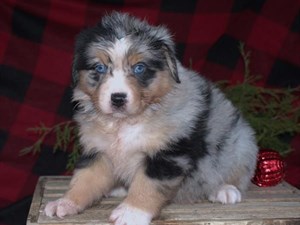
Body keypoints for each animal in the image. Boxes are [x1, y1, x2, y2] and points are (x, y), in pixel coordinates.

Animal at [44, 11, 258, 225]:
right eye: (99, 68)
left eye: (139, 68)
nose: (118, 98)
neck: (125, 123)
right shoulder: (98, 151)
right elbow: (84, 179)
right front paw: (65, 203)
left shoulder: (168, 155)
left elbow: (147, 185)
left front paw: (130, 212)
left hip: (240, 145)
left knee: (235, 173)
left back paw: (225, 190)